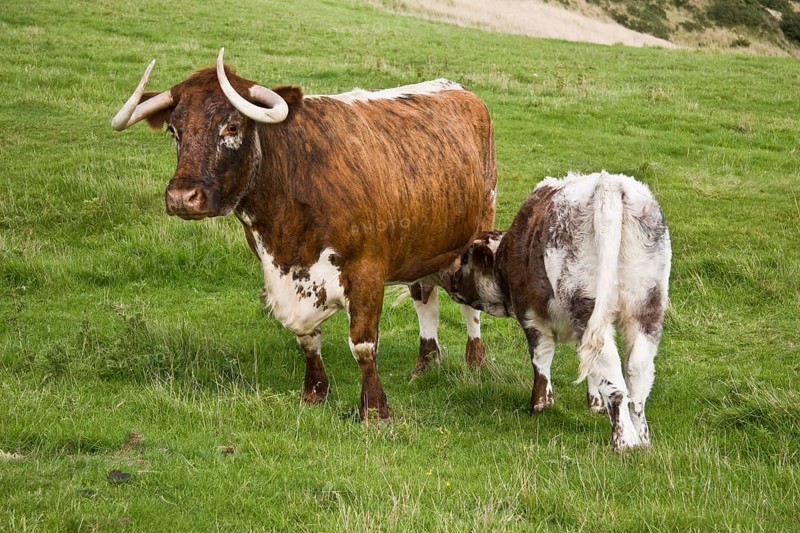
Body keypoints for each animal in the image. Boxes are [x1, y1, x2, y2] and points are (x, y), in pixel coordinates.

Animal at [111, 49, 497, 421]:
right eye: (173, 131)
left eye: (231, 126)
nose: (182, 196)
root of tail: (460, 90)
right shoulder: (282, 274)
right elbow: (307, 340)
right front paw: (314, 392)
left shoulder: (367, 272)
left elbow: (363, 345)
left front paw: (374, 409)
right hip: (426, 243)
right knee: (424, 296)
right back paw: (426, 364)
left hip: (478, 231)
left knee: (467, 303)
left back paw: (475, 361)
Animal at [441, 172, 671, 451]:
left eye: (465, 260)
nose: (449, 279)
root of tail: (610, 184)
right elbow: (588, 365)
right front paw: (595, 404)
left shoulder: (531, 317)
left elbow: (541, 360)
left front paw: (539, 405)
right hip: (647, 306)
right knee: (637, 378)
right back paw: (642, 441)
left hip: (585, 302)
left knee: (613, 378)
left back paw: (624, 443)